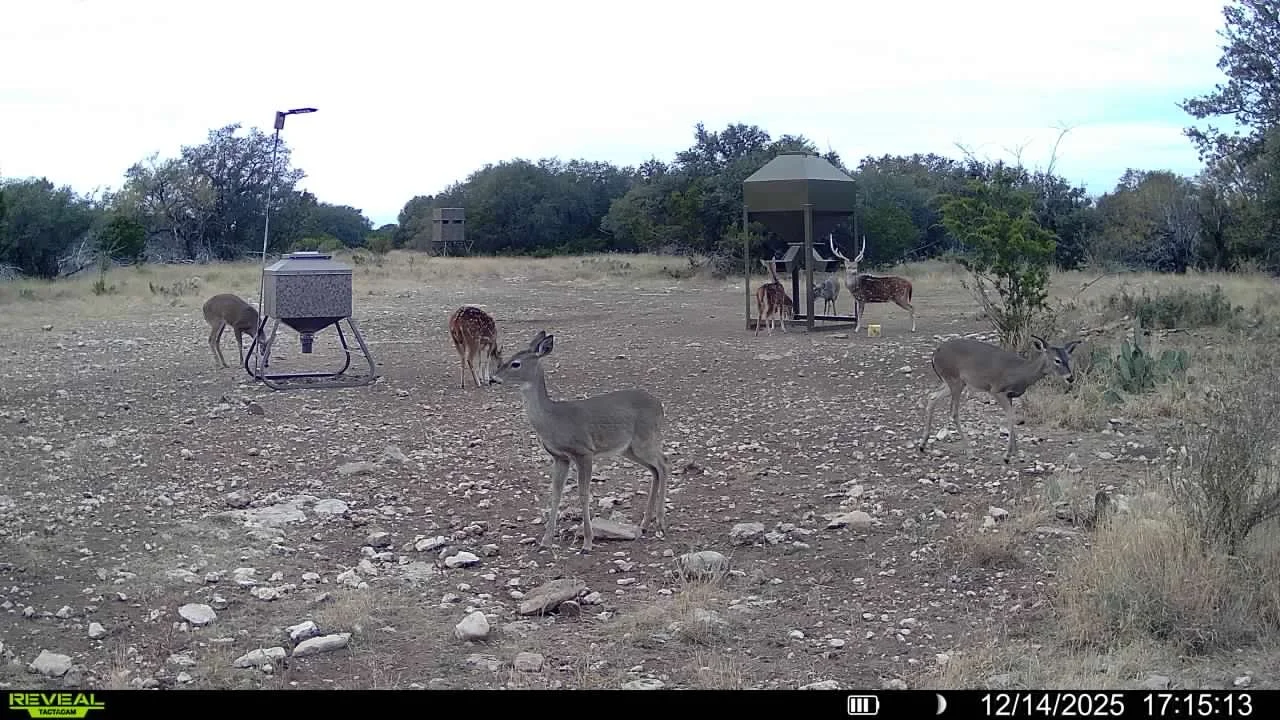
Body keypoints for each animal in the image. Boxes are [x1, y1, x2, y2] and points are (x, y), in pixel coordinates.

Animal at [489, 330, 669, 554]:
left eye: (516, 363)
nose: (493, 378)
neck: (553, 419)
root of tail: (660, 405)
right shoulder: (560, 457)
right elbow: (556, 493)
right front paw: (546, 540)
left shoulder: (584, 451)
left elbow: (584, 494)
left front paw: (587, 543)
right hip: (628, 448)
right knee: (655, 470)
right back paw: (644, 525)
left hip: (645, 439)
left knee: (663, 464)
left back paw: (660, 524)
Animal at [917, 335, 1082, 463]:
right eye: (1057, 360)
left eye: (1069, 358)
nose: (1070, 378)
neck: (1021, 373)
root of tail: (935, 354)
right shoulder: (996, 390)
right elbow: (1010, 417)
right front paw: (1007, 455)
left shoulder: (1010, 396)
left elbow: (1012, 417)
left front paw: (1017, 453)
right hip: (955, 380)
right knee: (953, 411)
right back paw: (970, 452)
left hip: (950, 382)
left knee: (932, 397)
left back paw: (923, 444)